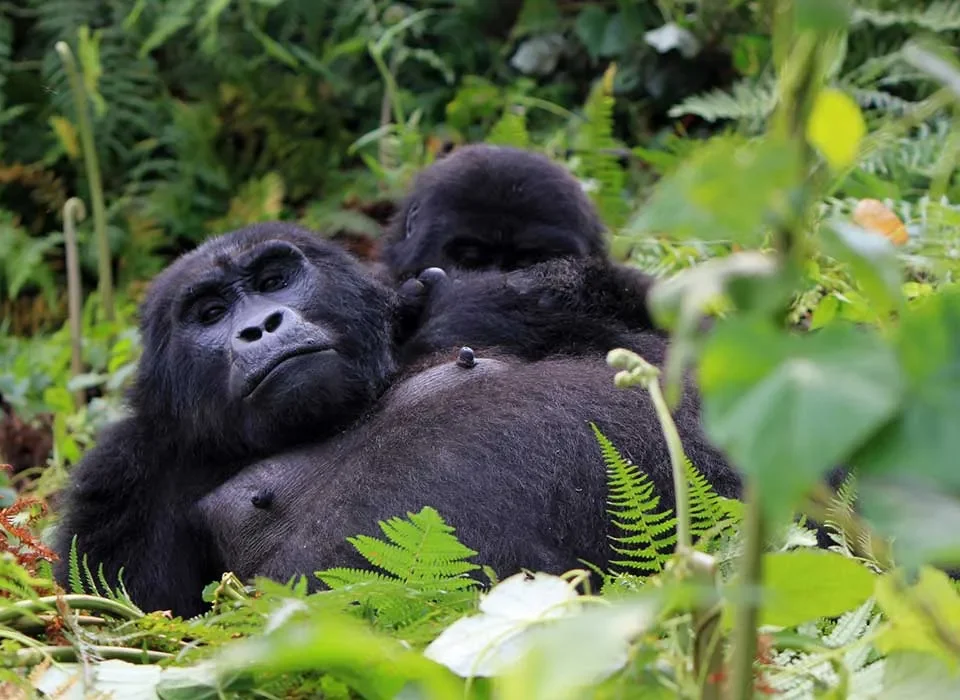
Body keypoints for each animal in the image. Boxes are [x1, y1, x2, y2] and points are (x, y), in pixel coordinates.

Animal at [54, 221, 744, 616]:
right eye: (210, 313)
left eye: (275, 278)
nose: (261, 326)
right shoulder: (124, 485)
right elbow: (137, 626)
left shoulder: (496, 300)